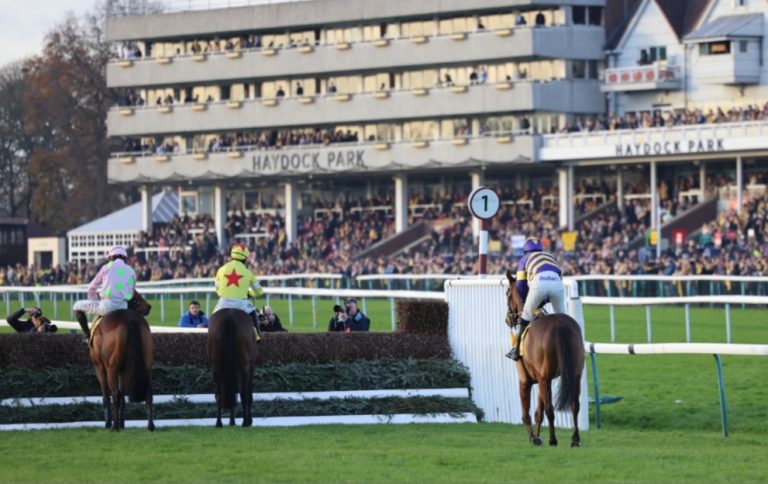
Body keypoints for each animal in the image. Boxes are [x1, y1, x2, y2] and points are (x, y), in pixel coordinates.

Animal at [89, 290, 154, 432]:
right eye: (135, 294)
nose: (148, 307)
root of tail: (130, 320)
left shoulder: (99, 368)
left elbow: (107, 396)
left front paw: (110, 423)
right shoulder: (124, 370)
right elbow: (123, 395)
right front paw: (121, 423)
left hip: (111, 369)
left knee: (114, 395)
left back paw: (114, 427)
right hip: (147, 367)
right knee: (148, 392)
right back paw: (151, 426)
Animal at [504, 268, 588, 446]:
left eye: (507, 293)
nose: (508, 319)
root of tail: (561, 326)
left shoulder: (525, 379)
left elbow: (527, 412)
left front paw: (533, 437)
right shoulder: (541, 378)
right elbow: (538, 412)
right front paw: (537, 435)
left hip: (545, 378)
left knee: (550, 408)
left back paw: (553, 439)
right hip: (575, 374)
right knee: (574, 404)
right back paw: (575, 439)